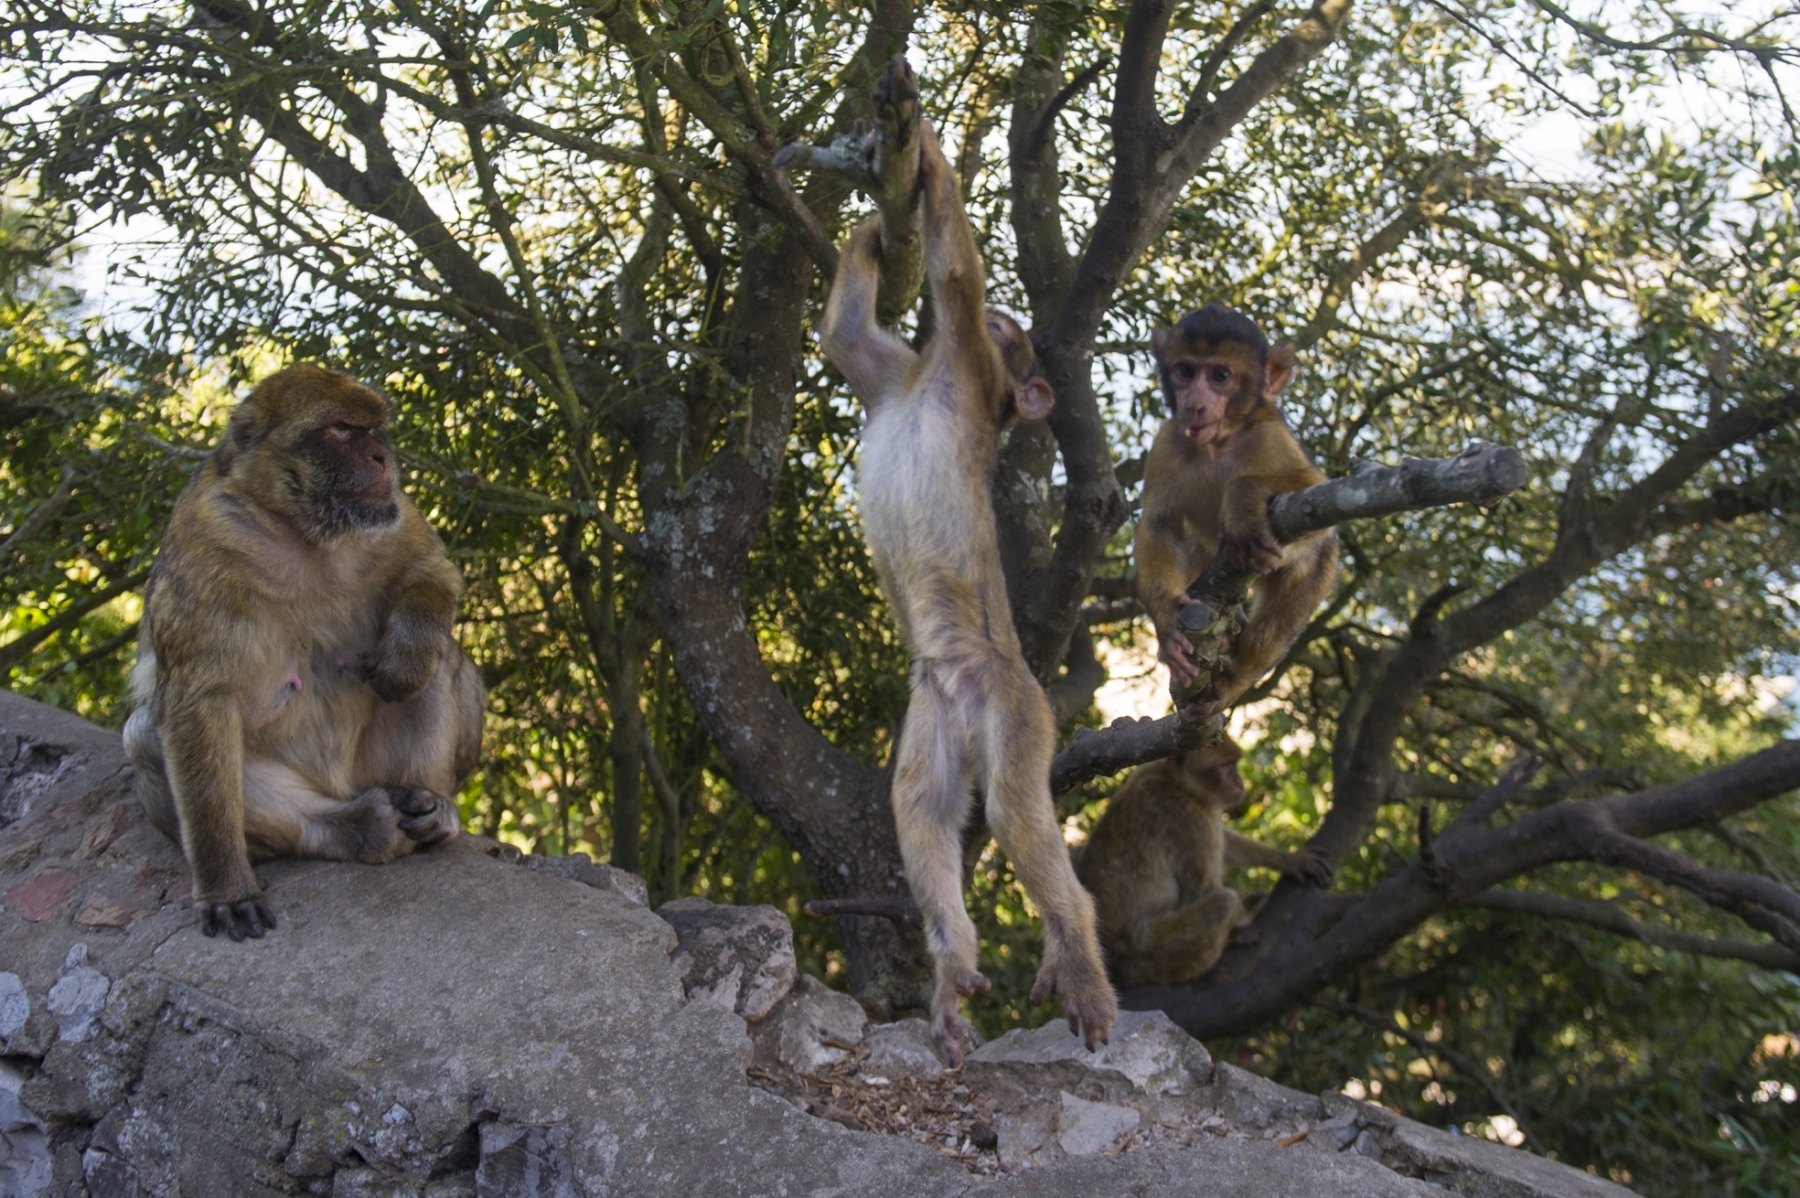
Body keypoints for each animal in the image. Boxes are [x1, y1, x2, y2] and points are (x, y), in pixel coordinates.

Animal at [122, 364, 485, 942]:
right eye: (341, 430)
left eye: (374, 430)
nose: (383, 458)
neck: (304, 532)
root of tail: (341, 786)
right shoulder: (204, 539)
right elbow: (198, 703)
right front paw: (226, 887)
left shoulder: (392, 511)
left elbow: (432, 571)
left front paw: (404, 658)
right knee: (143, 735)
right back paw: (353, 829)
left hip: (370, 767)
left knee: (440, 661)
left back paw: (429, 809)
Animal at [816, 57, 1116, 1066]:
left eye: (1013, 333)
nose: (1010, 319)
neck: (929, 378)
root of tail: (964, 678)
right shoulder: (893, 374)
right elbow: (843, 338)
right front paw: (873, 222)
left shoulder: (966, 365)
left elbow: (951, 271)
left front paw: (933, 154)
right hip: (936, 720)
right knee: (922, 811)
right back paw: (953, 971)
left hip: (1017, 709)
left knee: (1021, 814)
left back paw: (1078, 952)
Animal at [1076, 738, 1332, 988]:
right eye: (1226, 767)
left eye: (1235, 765)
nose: (1239, 781)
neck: (1177, 782)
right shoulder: (1188, 819)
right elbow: (1200, 890)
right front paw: (1244, 917)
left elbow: (1228, 844)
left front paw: (1290, 860)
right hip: (1155, 955)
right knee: (1224, 902)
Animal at [1134, 304, 1339, 712]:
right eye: (1185, 372)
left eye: (1219, 376)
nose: (1195, 404)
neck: (1219, 441)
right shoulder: (1167, 441)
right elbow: (1159, 525)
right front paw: (1166, 620)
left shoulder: (1270, 438)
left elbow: (1315, 492)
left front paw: (1242, 502)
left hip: (1314, 570)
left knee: (1269, 633)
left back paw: (1235, 673)